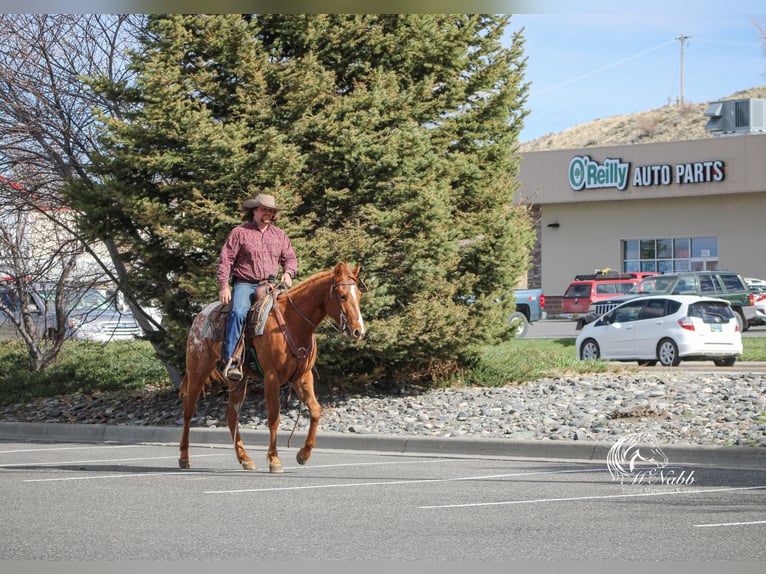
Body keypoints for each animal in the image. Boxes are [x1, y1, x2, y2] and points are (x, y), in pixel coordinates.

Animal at [180, 264, 366, 474]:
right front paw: (274, 460)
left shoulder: (303, 377)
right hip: (197, 371)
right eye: (342, 296)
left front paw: (303, 455)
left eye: (359, 294)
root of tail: (201, 315)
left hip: (237, 380)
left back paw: (245, 459)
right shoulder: (271, 377)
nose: (359, 331)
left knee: (231, 417)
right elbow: (274, 417)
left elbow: (316, 410)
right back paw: (184, 458)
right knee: (188, 412)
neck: (291, 323)